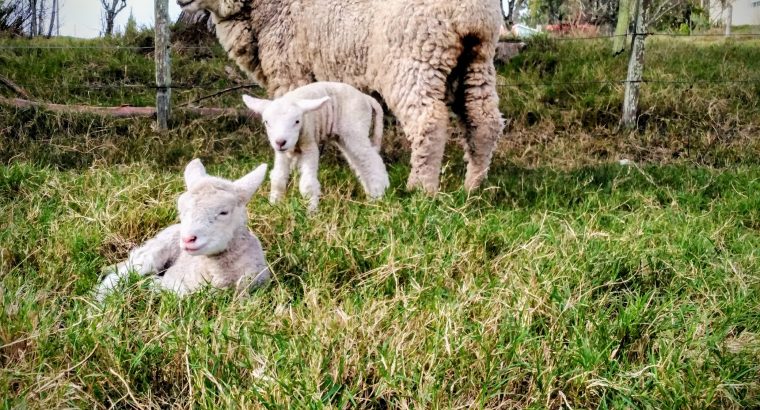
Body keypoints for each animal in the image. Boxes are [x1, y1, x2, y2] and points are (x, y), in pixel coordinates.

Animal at [177, 0, 504, 194]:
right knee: (484, 122)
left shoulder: (290, 71)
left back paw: (420, 188)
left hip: (413, 59)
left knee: (429, 122)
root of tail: (471, 13)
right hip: (476, 63)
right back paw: (474, 187)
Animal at [242, 82, 388, 213]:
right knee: (361, 164)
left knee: (372, 161)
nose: (280, 142)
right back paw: (371, 197)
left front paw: (311, 212)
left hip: (355, 129)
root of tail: (366, 98)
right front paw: (274, 205)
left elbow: (307, 184)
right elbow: (278, 178)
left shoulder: (309, 145)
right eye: (266, 122)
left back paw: (378, 196)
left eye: (297, 121)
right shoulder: (282, 153)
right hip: (346, 136)